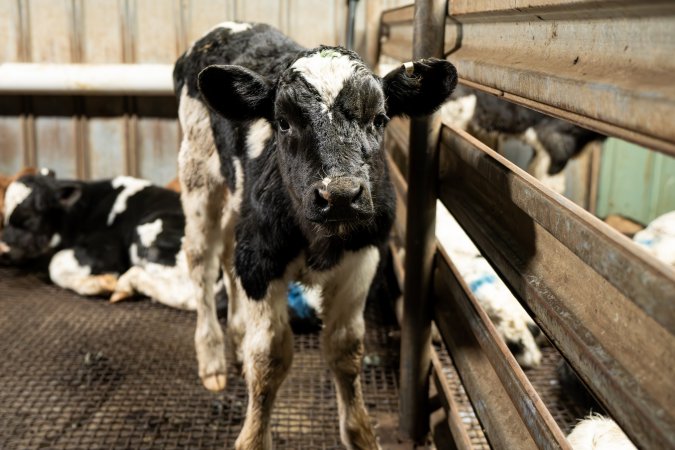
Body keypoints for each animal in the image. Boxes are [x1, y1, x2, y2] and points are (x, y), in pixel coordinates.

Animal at [174, 21, 460, 450]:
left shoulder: (363, 257)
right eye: (283, 121)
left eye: (379, 118)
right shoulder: (261, 262)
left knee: (226, 256)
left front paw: (361, 434)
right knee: (202, 265)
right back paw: (211, 360)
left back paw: (237, 338)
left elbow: (345, 348)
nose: (339, 194)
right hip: (197, 176)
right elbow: (270, 356)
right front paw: (254, 436)